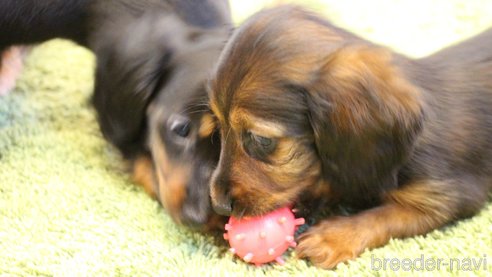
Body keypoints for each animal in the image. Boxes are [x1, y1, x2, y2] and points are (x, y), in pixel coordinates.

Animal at [209, 4, 492, 268]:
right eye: (219, 128)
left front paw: (333, 237)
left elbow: (385, 215)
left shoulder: (446, 195)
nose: (219, 207)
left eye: (261, 140)